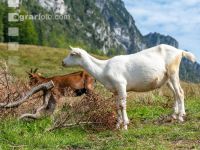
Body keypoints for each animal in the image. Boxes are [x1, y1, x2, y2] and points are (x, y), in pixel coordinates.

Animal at [62, 44, 195, 129]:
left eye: (72, 54)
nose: (62, 62)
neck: (103, 68)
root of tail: (179, 51)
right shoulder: (115, 90)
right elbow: (117, 106)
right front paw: (117, 125)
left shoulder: (121, 85)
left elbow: (122, 105)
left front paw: (125, 125)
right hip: (167, 79)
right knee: (175, 93)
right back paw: (174, 115)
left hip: (173, 72)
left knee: (180, 92)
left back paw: (181, 116)